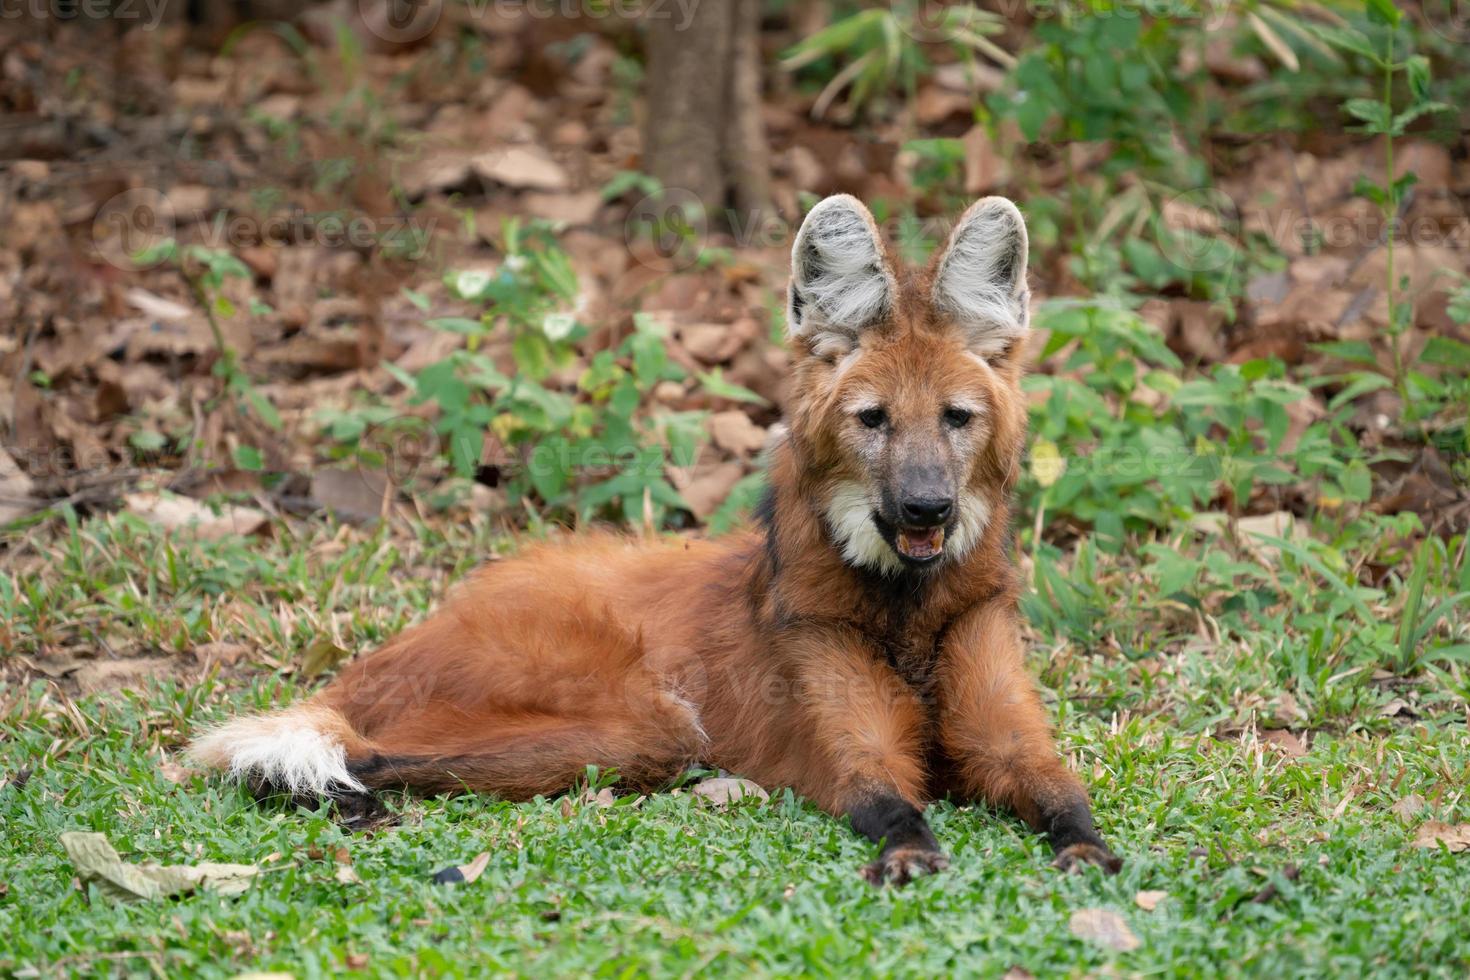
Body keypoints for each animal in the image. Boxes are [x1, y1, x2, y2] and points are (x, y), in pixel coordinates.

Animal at [189, 195, 1117, 887]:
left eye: (956, 419)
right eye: (874, 421)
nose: (926, 509)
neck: (907, 607)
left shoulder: (1002, 722)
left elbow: (1056, 785)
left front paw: (1087, 849)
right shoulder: (844, 735)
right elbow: (884, 789)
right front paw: (909, 852)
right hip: (644, 723)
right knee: (340, 750)